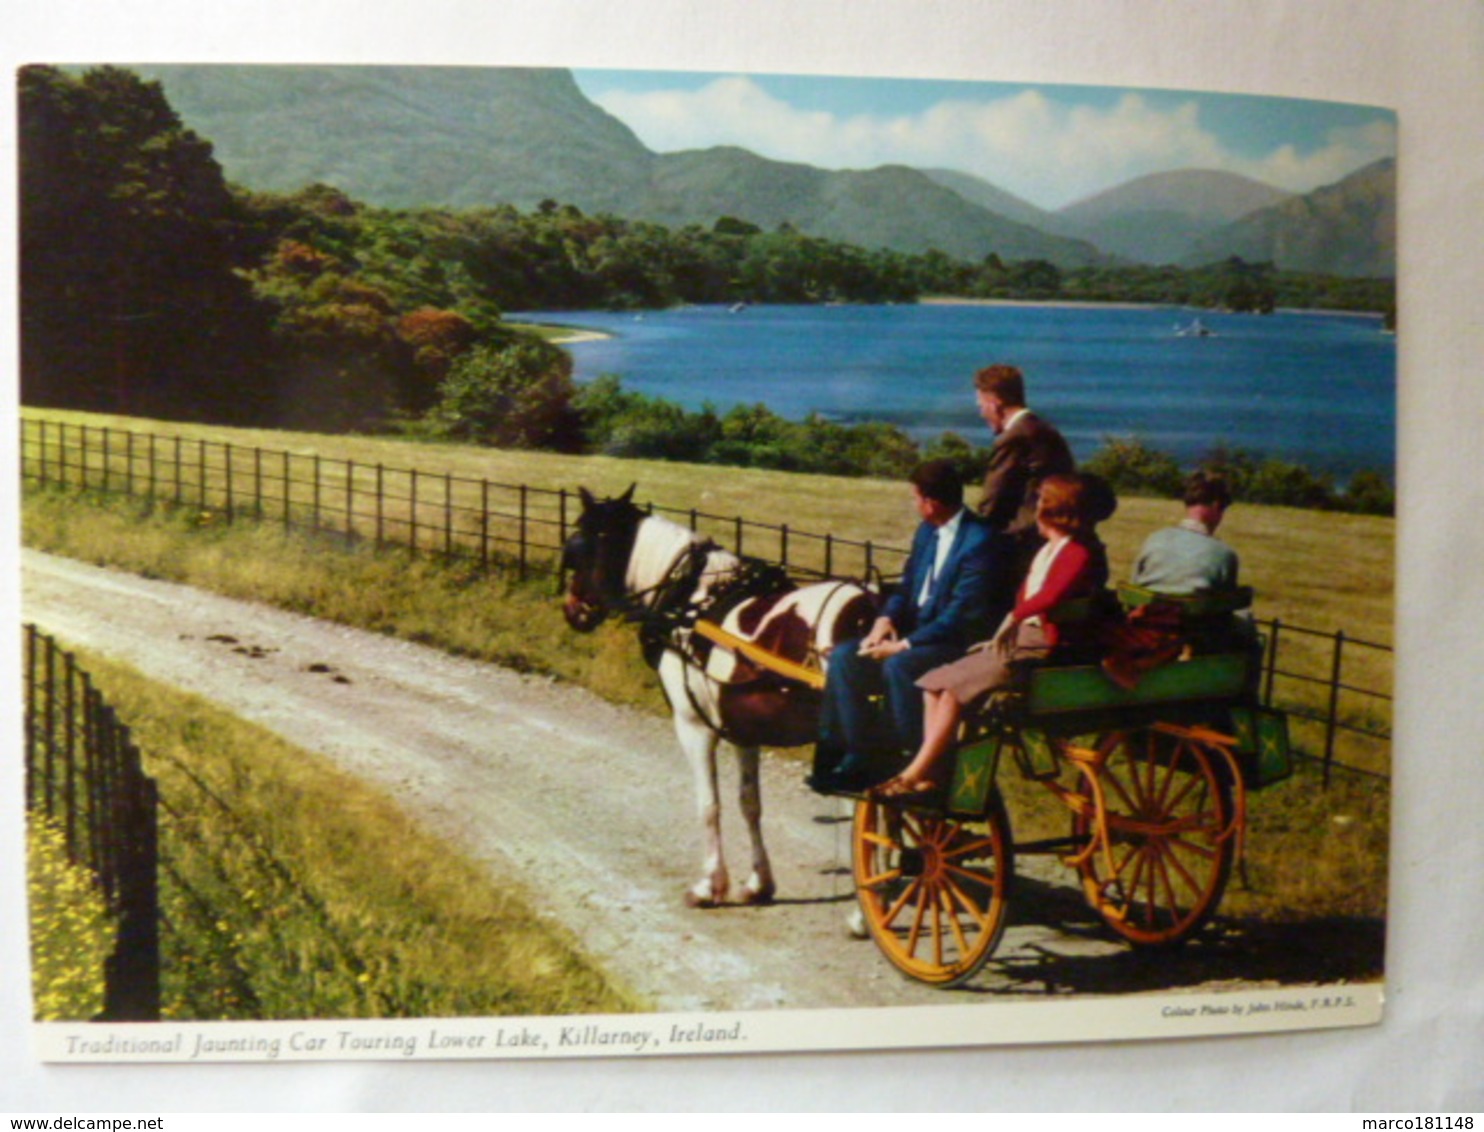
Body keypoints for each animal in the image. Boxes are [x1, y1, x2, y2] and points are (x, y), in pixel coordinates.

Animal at [560, 486, 872, 913]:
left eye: (578, 544)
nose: (572, 610)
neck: (691, 603)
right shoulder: (744, 731)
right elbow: (749, 802)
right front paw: (758, 883)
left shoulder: (693, 726)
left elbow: (709, 805)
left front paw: (708, 885)